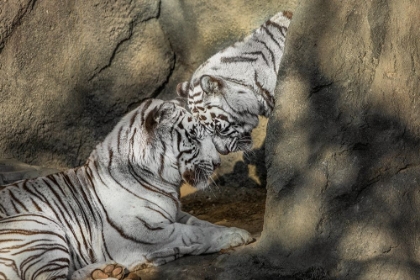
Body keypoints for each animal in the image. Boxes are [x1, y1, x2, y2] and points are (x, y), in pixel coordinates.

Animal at [0, 99, 253, 280]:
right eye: (193, 137)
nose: (218, 163)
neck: (165, 183)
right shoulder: (142, 232)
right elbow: (193, 233)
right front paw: (237, 235)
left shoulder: (174, 213)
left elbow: (200, 223)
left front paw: (230, 229)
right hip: (37, 227)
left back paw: (104, 272)